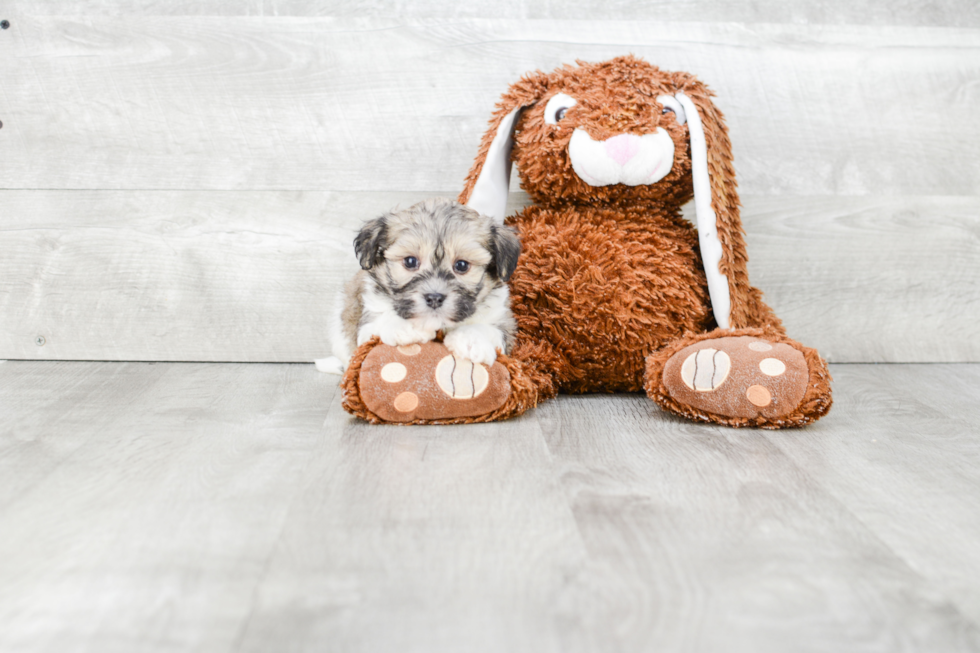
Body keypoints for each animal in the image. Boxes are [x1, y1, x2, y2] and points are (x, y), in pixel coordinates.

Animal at [320, 197, 520, 372]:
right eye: (410, 262)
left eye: (462, 265)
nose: (434, 298)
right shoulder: (366, 325)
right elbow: (380, 320)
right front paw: (407, 326)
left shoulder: (504, 321)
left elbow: (488, 328)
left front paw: (472, 341)